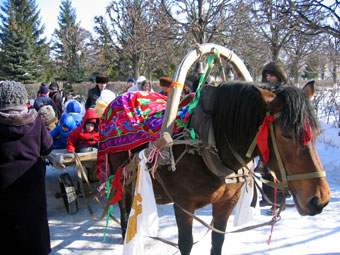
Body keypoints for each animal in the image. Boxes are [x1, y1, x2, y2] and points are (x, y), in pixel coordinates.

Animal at [105, 81, 330, 255]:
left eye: (317, 133)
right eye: (286, 134)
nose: (320, 199)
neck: (208, 145)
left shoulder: (227, 202)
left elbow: (217, 241)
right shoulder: (183, 205)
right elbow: (185, 244)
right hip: (119, 174)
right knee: (123, 201)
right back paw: (125, 230)